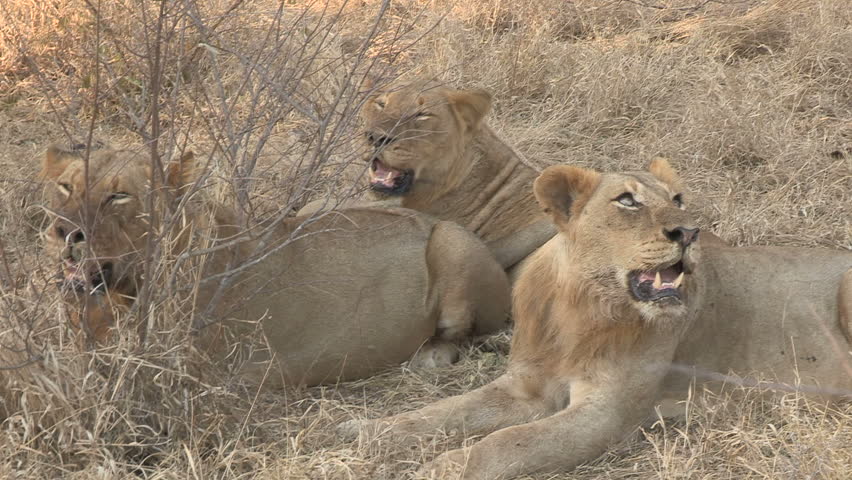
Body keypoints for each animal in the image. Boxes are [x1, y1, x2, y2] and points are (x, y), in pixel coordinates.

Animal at [36, 145, 510, 386]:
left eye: (119, 196)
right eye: (66, 187)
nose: (66, 232)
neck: (117, 297)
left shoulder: (203, 379)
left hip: (453, 241)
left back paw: (430, 355)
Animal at [342, 158, 852, 480]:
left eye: (678, 199)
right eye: (627, 201)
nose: (689, 232)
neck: (582, 305)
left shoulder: (605, 414)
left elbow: (504, 443)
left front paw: (438, 468)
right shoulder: (524, 387)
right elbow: (440, 412)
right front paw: (365, 432)